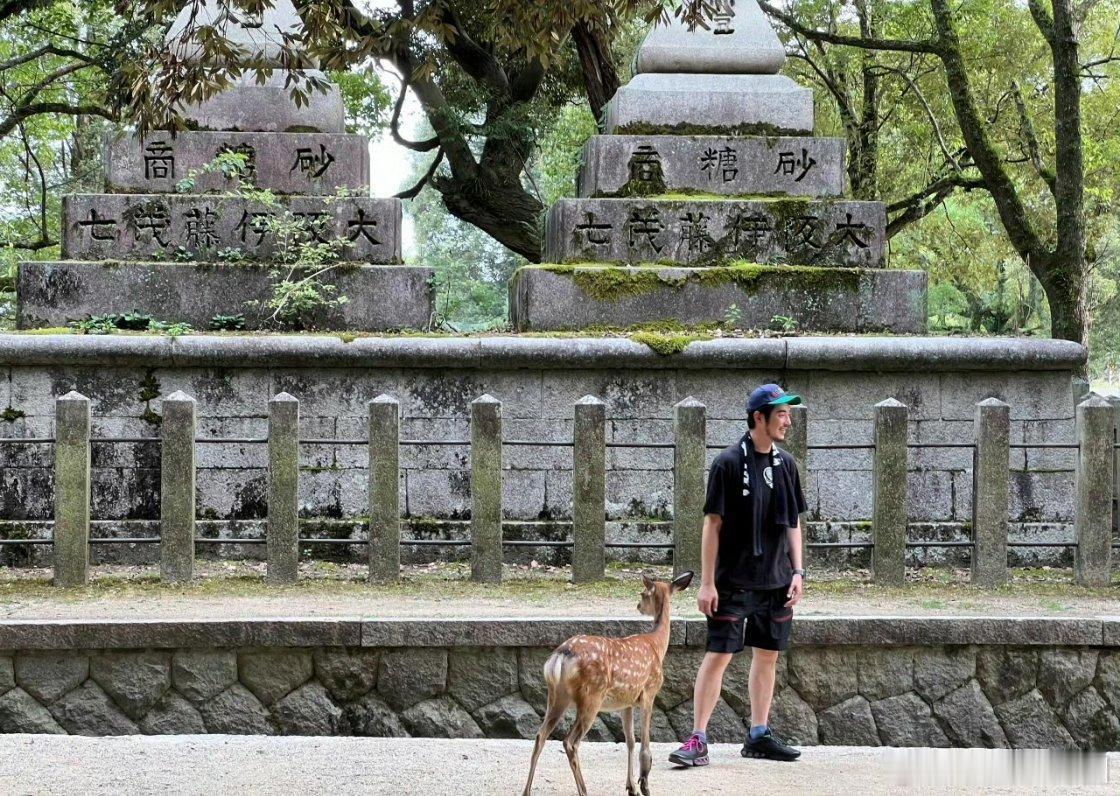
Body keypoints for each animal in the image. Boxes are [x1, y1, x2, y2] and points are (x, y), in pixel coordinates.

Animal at [523, 570, 694, 796]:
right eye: (642, 593)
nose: (637, 606)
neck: (657, 645)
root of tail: (561, 655)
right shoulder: (649, 692)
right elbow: (644, 747)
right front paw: (644, 786)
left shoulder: (626, 702)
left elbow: (630, 741)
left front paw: (631, 787)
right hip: (591, 697)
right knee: (570, 742)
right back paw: (584, 790)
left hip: (556, 695)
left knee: (540, 735)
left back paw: (527, 791)